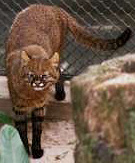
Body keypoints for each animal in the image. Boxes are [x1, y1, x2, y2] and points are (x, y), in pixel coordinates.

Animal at [5, 4, 131, 158]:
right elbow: (21, 133)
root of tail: (51, 7)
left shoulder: (40, 106)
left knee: (60, 71)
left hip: (59, 48)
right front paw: (24, 151)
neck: (32, 96)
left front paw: (36, 150)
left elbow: (37, 130)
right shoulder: (18, 109)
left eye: (44, 76)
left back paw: (60, 94)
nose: (38, 83)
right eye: (30, 75)